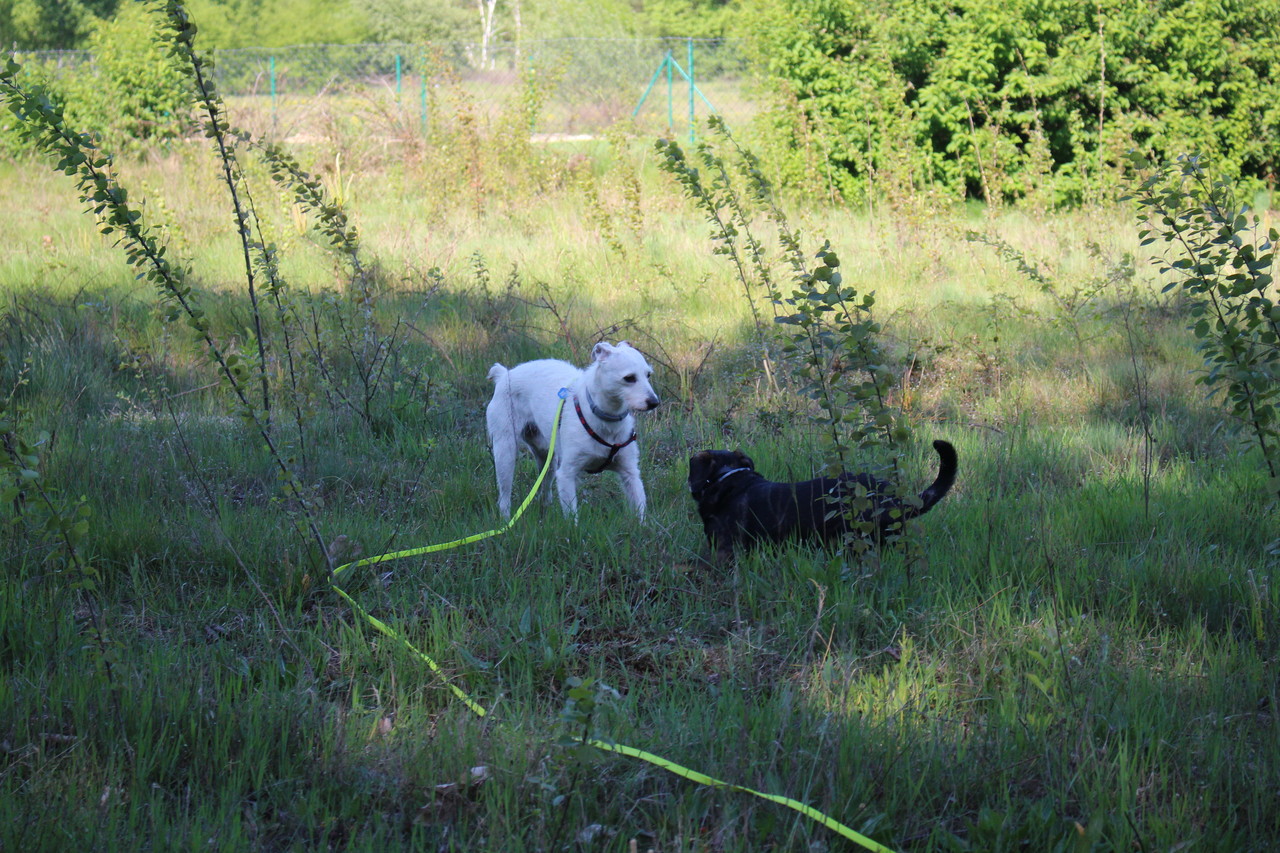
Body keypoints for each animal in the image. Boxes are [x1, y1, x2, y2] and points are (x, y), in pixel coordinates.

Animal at [486, 341, 660, 519]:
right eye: (629, 378)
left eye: (648, 375)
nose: (654, 402)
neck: (605, 420)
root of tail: (504, 374)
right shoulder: (566, 475)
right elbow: (571, 518)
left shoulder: (630, 474)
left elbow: (640, 511)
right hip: (505, 453)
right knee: (504, 498)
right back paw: (506, 519)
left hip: (547, 458)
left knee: (544, 492)